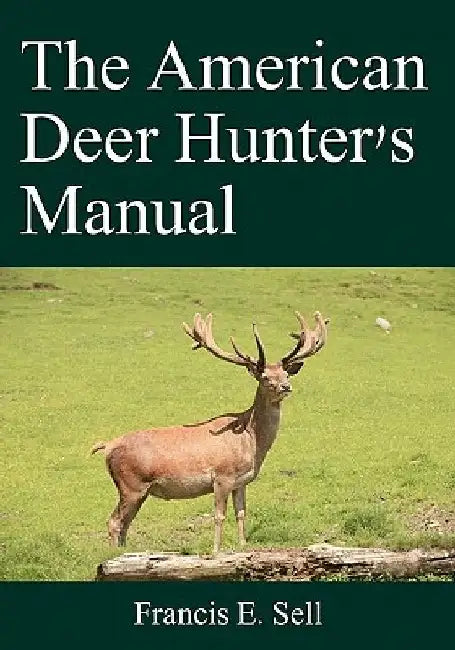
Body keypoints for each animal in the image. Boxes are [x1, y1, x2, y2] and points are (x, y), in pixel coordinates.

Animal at [91, 310, 328, 554]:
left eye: (286, 374)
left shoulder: (241, 481)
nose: (285, 387)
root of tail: (107, 446)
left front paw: (243, 545)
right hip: (131, 485)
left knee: (125, 523)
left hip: (139, 491)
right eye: (265, 377)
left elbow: (241, 513)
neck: (250, 440)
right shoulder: (222, 476)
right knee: (114, 521)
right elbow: (219, 516)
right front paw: (216, 550)